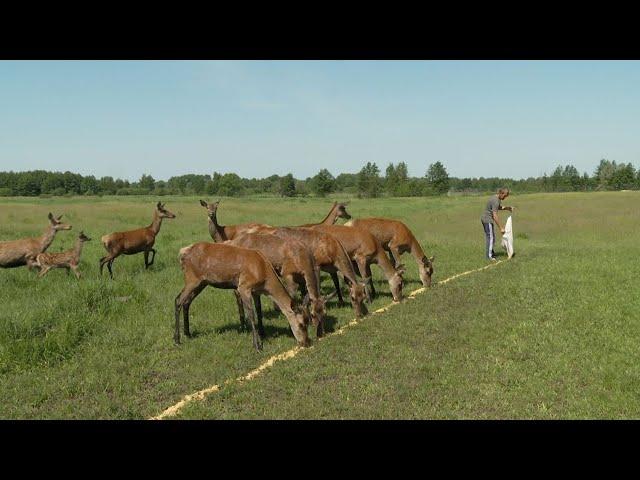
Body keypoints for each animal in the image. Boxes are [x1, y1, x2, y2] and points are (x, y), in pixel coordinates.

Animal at [171, 242, 308, 350]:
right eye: (302, 324)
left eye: (309, 321)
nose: (306, 342)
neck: (264, 274)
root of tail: (182, 253)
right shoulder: (244, 286)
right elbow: (251, 314)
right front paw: (257, 345)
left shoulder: (256, 291)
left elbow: (259, 310)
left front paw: (262, 333)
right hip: (192, 278)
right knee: (178, 300)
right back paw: (177, 339)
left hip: (202, 282)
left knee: (187, 302)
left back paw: (188, 333)